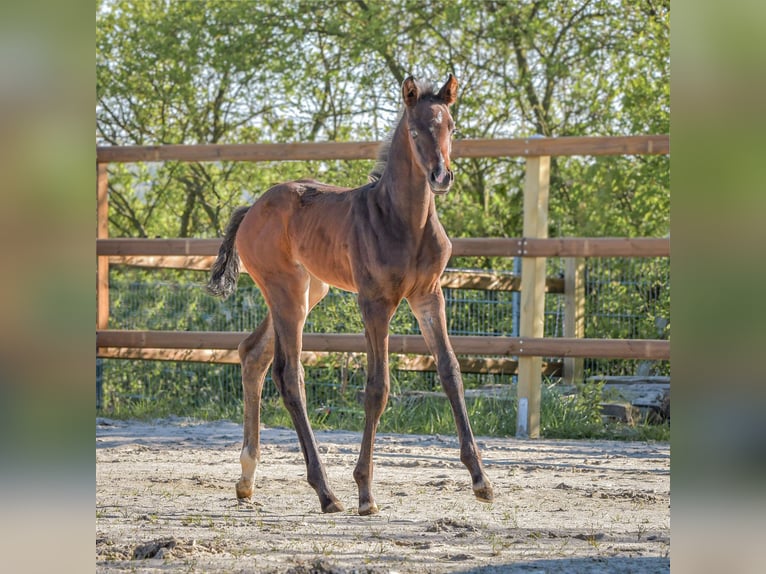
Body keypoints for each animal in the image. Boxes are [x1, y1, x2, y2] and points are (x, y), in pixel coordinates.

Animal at [208, 73, 498, 516]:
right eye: (415, 129)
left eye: (451, 127)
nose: (441, 177)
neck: (405, 220)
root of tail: (252, 208)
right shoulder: (374, 302)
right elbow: (378, 387)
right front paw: (365, 492)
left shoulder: (429, 296)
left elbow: (450, 371)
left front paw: (481, 479)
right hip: (286, 291)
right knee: (289, 374)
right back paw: (326, 492)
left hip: (309, 289)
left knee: (253, 353)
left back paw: (247, 479)